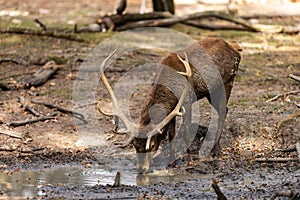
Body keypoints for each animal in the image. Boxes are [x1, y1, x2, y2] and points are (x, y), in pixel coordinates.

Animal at [98, 38, 241, 173]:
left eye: (152, 145)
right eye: (134, 145)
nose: (141, 168)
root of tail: (235, 51)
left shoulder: (187, 101)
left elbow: (186, 133)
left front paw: (189, 163)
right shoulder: (172, 109)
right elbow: (171, 134)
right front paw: (171, 163)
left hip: (227, 82)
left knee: (222, 111)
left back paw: (215, 152)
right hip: (211, 91)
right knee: (225, 110)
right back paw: (217, 149)